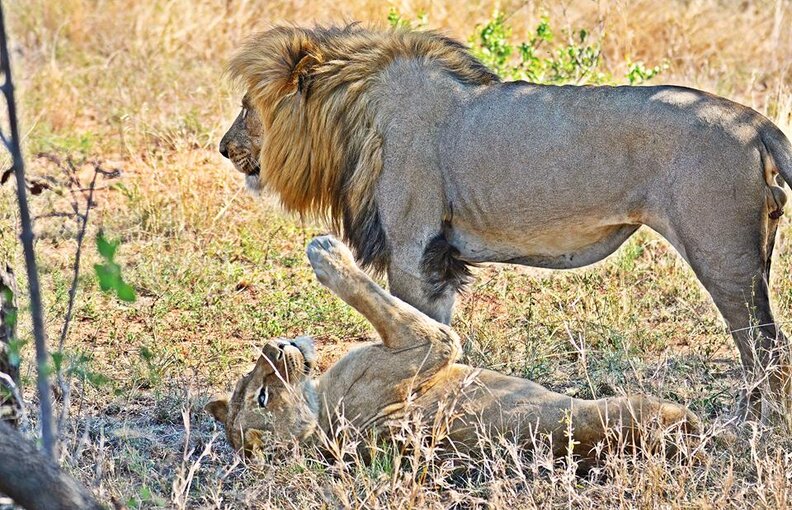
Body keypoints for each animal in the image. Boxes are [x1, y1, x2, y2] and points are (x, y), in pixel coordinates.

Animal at [206, 235, 698, 465]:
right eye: (262, 397)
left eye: (251, 381)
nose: (273, 345)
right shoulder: (430, 344)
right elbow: (381, 300)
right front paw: (326, 254)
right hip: (652, 407)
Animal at [218, 25, 792, 425]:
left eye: (247, 107)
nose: (223, 148)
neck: (351, 119)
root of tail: (754, 122)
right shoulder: (439, 259)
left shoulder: (413, 250)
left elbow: (411, 322)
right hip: (753, 255)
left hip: (722, 258)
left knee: (766, 349)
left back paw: (754, 427)